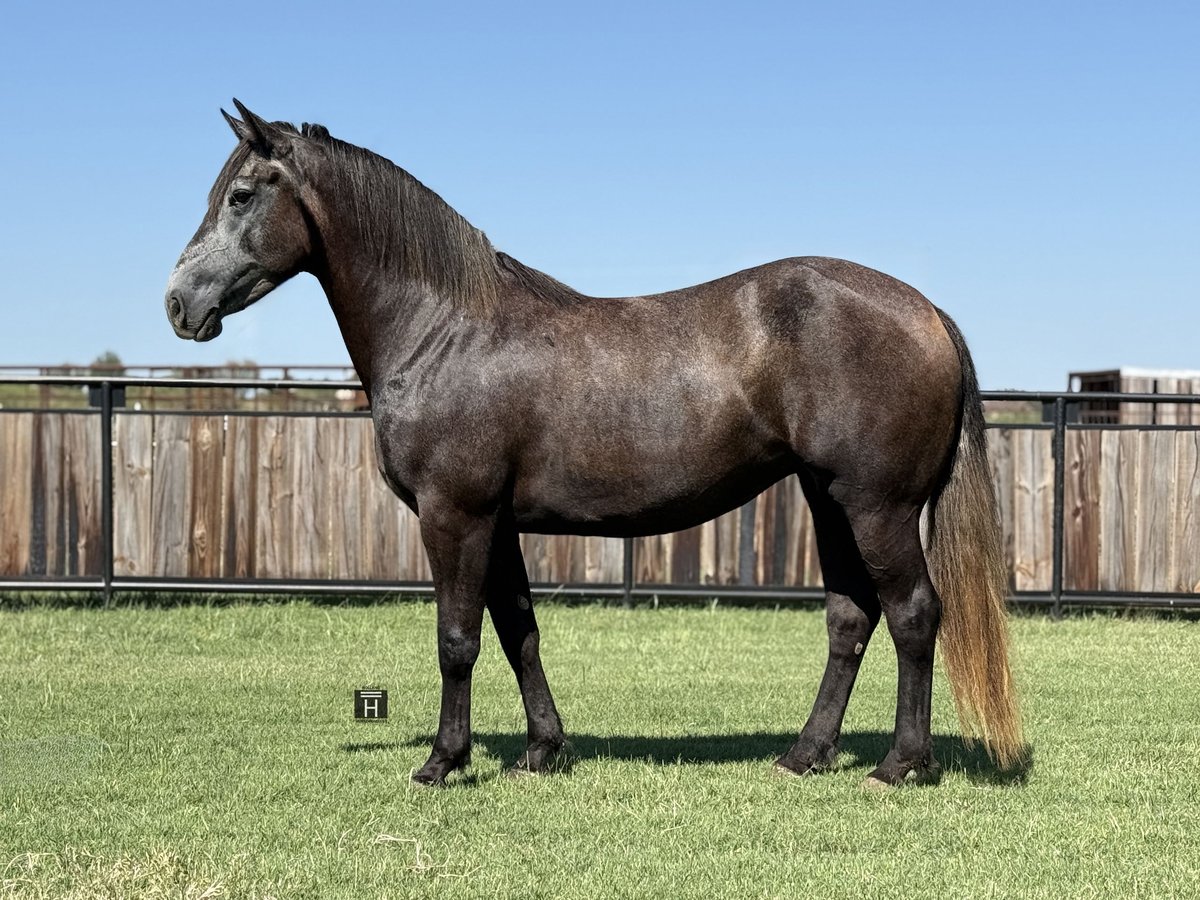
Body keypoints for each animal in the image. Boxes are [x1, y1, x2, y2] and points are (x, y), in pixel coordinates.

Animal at [166, 100, 1023, 787]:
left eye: (241, 195)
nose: (178, 304)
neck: (444, 329)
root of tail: (926, 310)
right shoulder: (497, 523)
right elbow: (518, 631)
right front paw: (542, 751)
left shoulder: (454, 515)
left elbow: (457, 639)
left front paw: (444, 761)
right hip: (830, 500)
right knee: (850, 618)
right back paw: (804, 755)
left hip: (878, 506)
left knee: (914, 614)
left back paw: (901, 764)